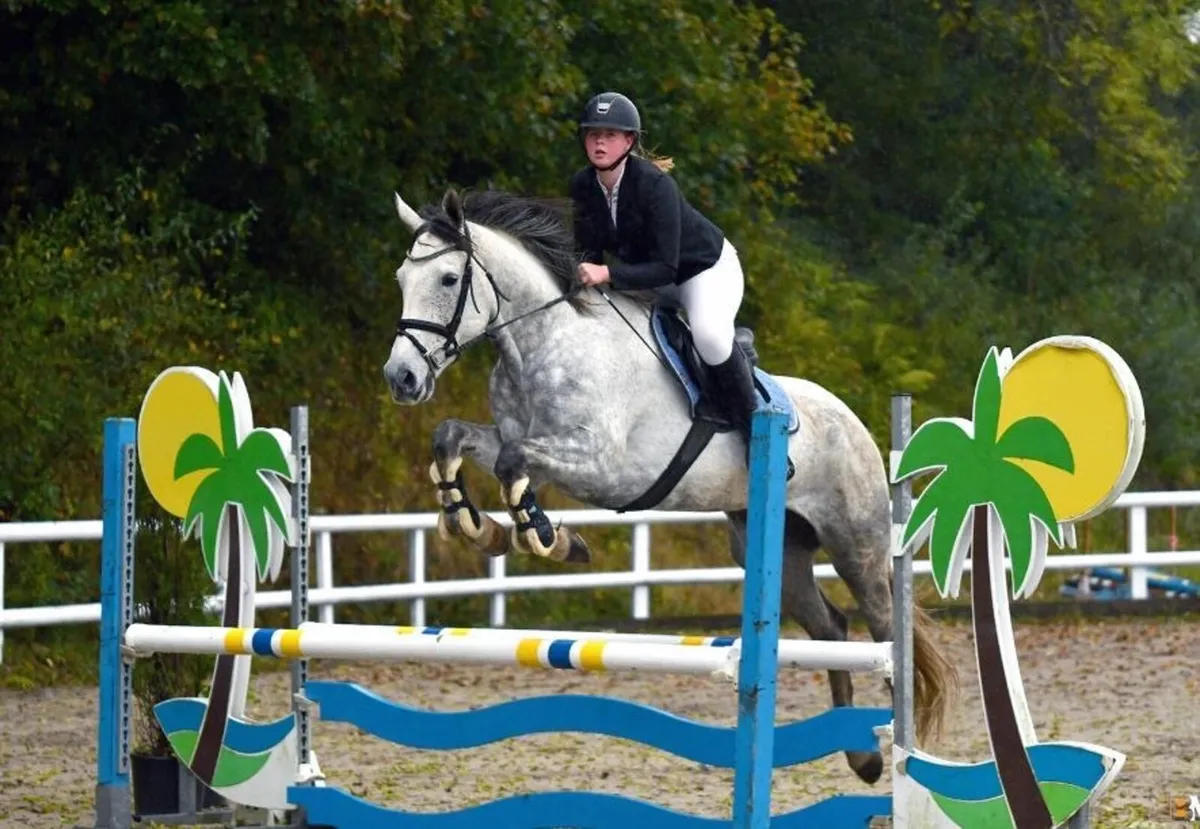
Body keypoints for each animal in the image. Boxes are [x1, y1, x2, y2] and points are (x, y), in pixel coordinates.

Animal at [381, 186, 956, 784]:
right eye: (402, 278)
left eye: (449, 279)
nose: (401, 378)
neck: (542, 342)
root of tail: (857, 423)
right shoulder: (528, 444)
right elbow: (456, 439)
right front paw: (476, 525)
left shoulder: (603, 466)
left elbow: (513, 467)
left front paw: (549, 538)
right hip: (774, 547)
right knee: (831, 627)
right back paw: (862, 758)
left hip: (855, 544)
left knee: (885, 631)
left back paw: (902, 755)